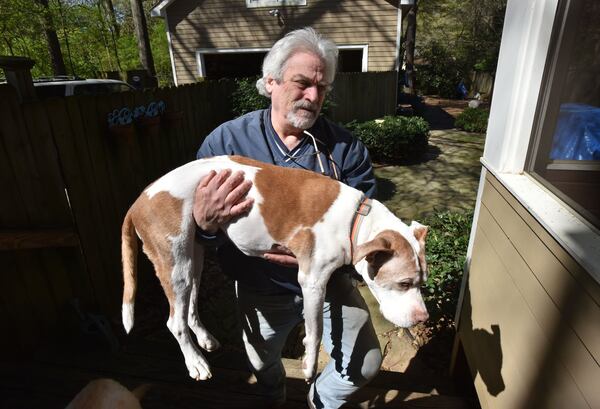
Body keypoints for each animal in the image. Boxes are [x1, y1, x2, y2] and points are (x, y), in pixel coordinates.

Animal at [122, 155, 428, 380]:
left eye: (422, 283)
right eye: (403, 283)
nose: (423, 319)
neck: (357, 219)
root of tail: (137, 202)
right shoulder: (312, 281)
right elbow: (315, 331)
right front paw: (308, 366)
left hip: (192, 260)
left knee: (189, 309)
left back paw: (205, 339)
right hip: (176, 265)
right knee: (174, 322)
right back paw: (195, 362)